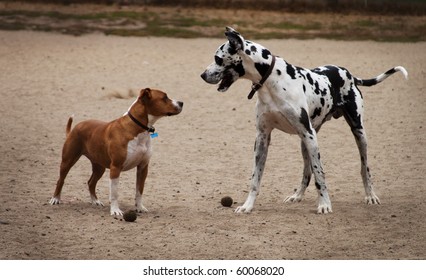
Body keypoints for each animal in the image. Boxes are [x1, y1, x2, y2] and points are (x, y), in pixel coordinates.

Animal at [50, 88, 183, 215]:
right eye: (165, 97)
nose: (181, 102)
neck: (137, 128)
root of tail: (75, 128)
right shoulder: (115, 168)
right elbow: (114, 194)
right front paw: (115, 210)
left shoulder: (143, 168)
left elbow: (139, 191)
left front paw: (139, 208)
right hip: (68, 160)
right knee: (61, 180)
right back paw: (55, 199)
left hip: (99, 166)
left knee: (91, 182)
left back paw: (95, 201)